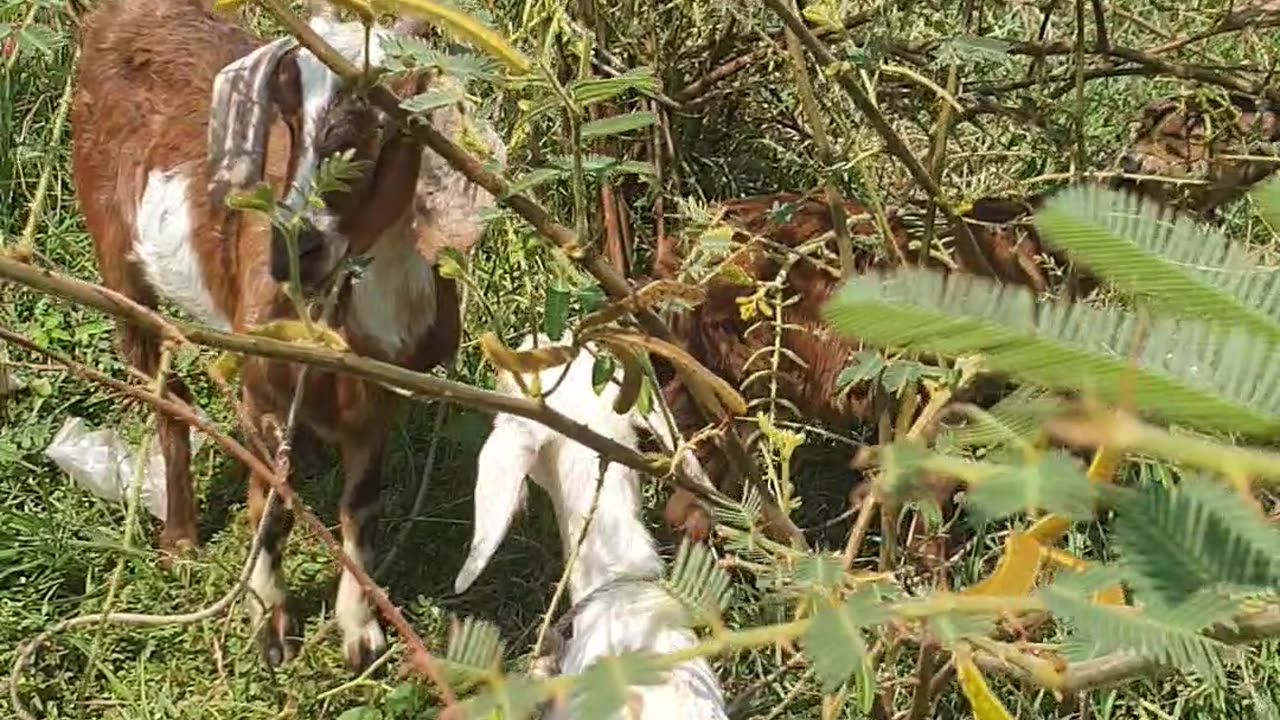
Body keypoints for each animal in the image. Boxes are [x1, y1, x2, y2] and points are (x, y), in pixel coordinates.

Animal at [70, 0, 505, 671]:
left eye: (384, 123)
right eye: (288, 121)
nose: (292, 250)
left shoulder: (381, 396)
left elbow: (361, 506)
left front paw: (359, 631)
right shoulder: (261, 387)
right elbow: (272, 505)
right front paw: (270, 627)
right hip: (116, 259)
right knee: (166, 393)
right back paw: (180, 538)